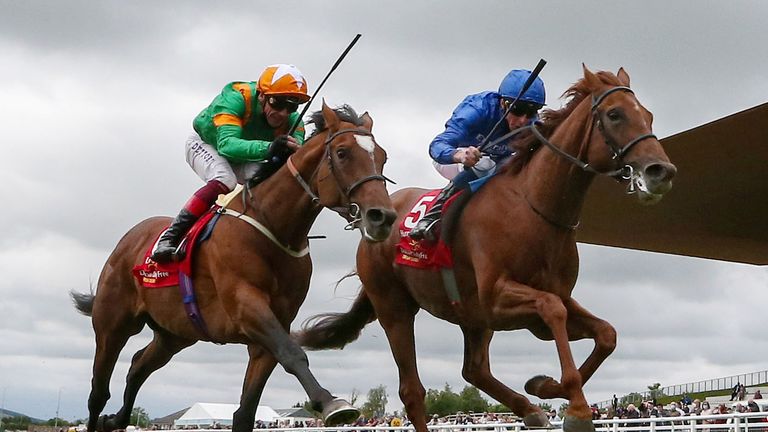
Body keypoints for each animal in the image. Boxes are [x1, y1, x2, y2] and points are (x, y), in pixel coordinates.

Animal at [69, 103, 396, 432]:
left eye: (382, 156)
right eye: (342, 153)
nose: (382, 216)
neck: (272, 226)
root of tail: (129, 239)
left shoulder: (272, 329)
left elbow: (247, 411)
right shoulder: (246, 306)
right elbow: (293, 354)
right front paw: (330, 403)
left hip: (174, 334)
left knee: (137, 366)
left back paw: (114, 420)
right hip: (113, 323)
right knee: (98, 392)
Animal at [294, 66, 680, 432]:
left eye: (648, 115)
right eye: (615, 114)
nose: (661, 170)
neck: (534, 208)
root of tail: (373, 225)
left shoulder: (539, 304)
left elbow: (607, 334)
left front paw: (545, 387)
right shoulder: (497, 296)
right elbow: (552, 309)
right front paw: (578, 410)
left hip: (472, 317)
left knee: (474, 370)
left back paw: (530, 410)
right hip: (394, 308)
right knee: (412, 391)